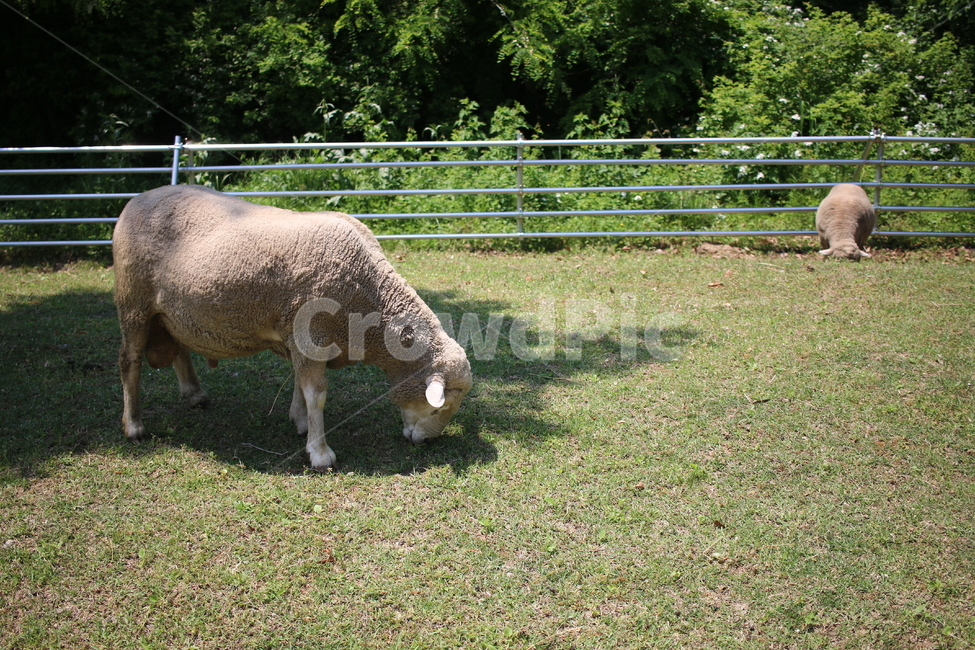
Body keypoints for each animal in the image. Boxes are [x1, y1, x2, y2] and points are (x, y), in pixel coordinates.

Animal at [112, 184, 472, 470]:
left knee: (178, 348)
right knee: (129, 362)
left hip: (171, 313)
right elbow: (317, 394)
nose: (425, 443)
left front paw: (299, 421)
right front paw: (320, 452)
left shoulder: (301, 339)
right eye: (440, 407)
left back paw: (195, 394)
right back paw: (133, 426)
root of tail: (138, 199)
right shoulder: (311, 334)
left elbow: (300, 383)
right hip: (133, 302)